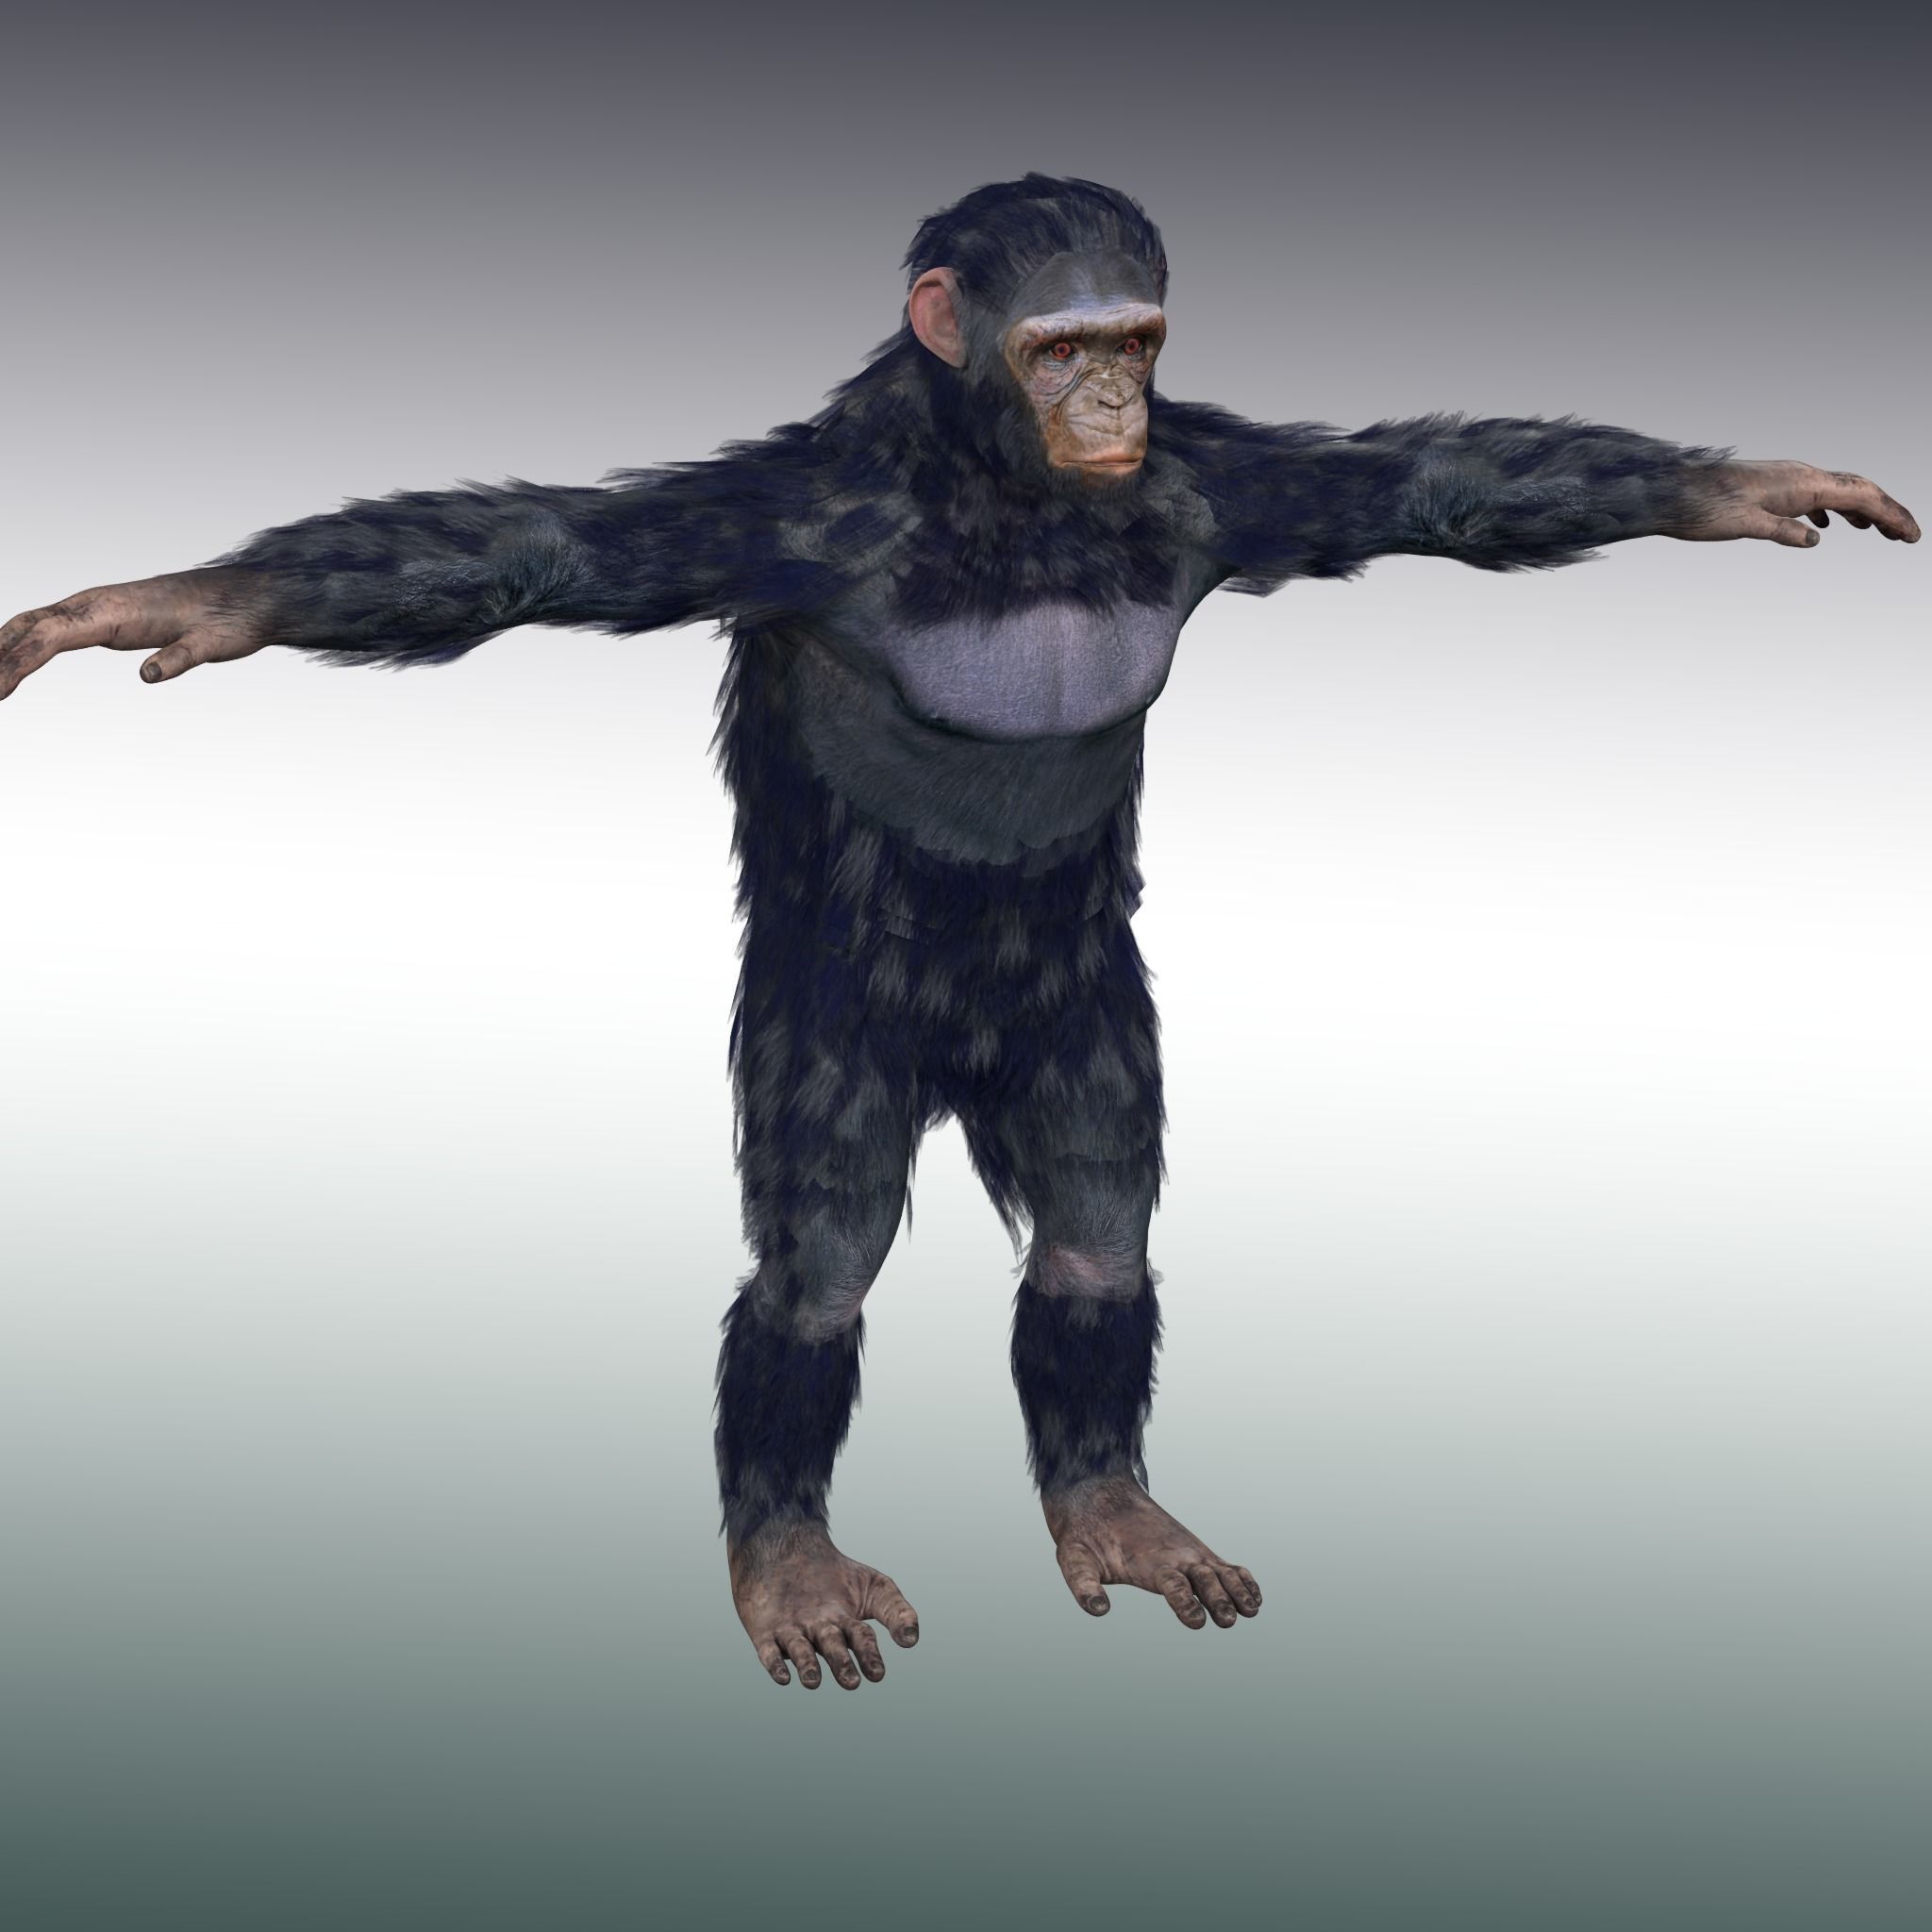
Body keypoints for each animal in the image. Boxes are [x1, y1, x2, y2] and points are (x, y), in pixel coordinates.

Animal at [0, 174, 1916, 1694]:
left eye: (1138, 338)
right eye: (1057, 346)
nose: (1110, 398)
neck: (1002, 498)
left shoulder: (1223, 484)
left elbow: (1431, 482)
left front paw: (1743, 484)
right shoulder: (776, 522)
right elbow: (528, 547)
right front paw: (180, 603)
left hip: (1082, 1027)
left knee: (1092, 1238)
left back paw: (1111, 1507)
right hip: (829, 1039)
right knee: (820, 1269)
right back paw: (786, 1557)